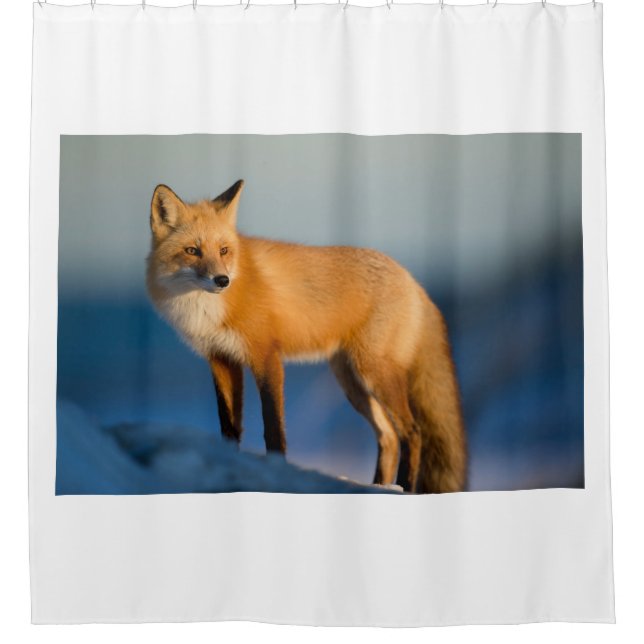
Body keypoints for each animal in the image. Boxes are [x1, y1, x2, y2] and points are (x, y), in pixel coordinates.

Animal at [146, 180, 467, 493]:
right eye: (192, 251)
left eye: (224, 250)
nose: (222, 280)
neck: (207, 308)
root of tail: (413, 281)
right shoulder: (221, 359)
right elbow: (229, 427)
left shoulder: (266, 356)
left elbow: (273, 427)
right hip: (352, 382)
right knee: (388, 436)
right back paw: (380, 486)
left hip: (374, 373)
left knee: (412, 432)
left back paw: (404, 487)